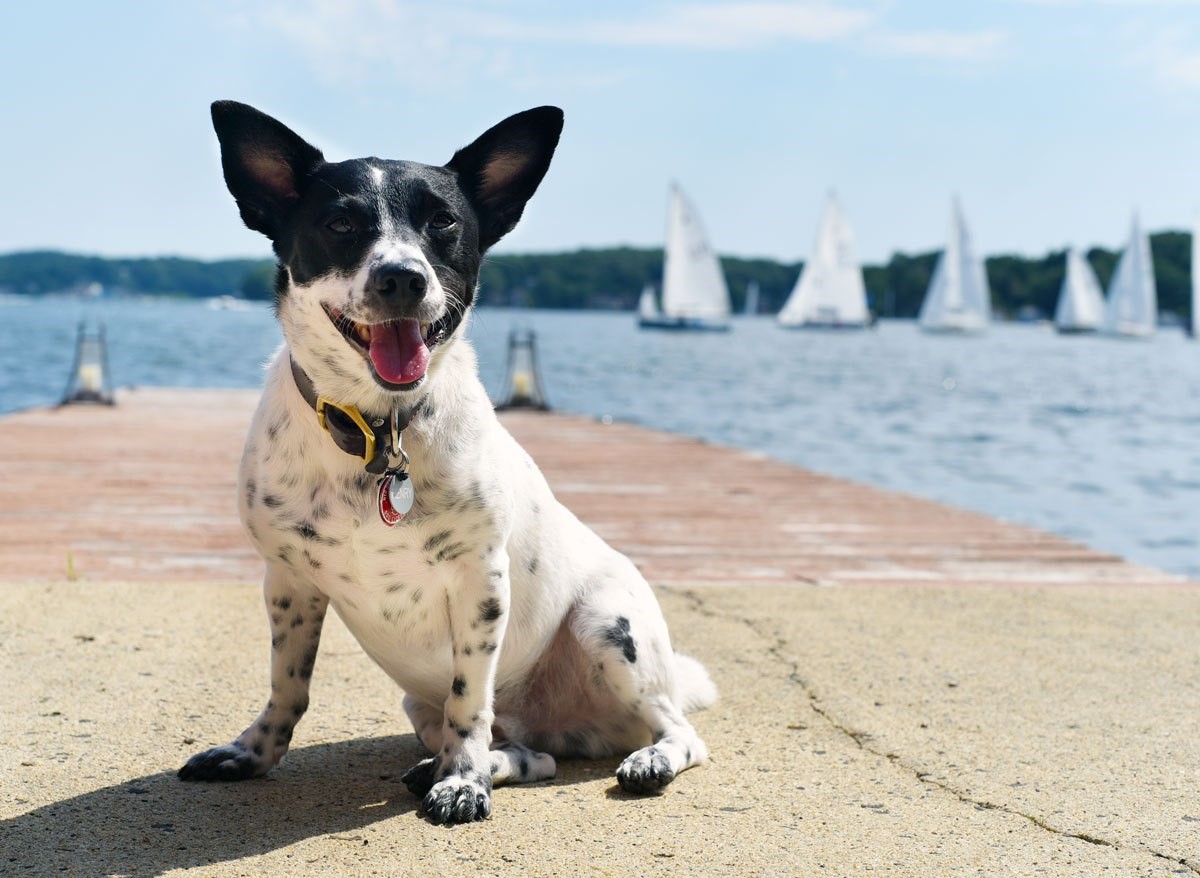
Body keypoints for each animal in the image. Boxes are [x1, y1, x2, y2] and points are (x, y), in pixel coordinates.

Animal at [180, 103, 710, 825]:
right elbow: (287, 685)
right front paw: (252, 753)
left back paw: (640, 760)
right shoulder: (288, 580)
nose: (402, 277)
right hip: (423, 704)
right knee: (532, 757)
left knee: (677, 730)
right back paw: (474, 764)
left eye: (443, 222)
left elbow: (468, 698)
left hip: (609, 628)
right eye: (340, 223)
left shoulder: (479, 582)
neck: (379, 430)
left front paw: (461, 783)